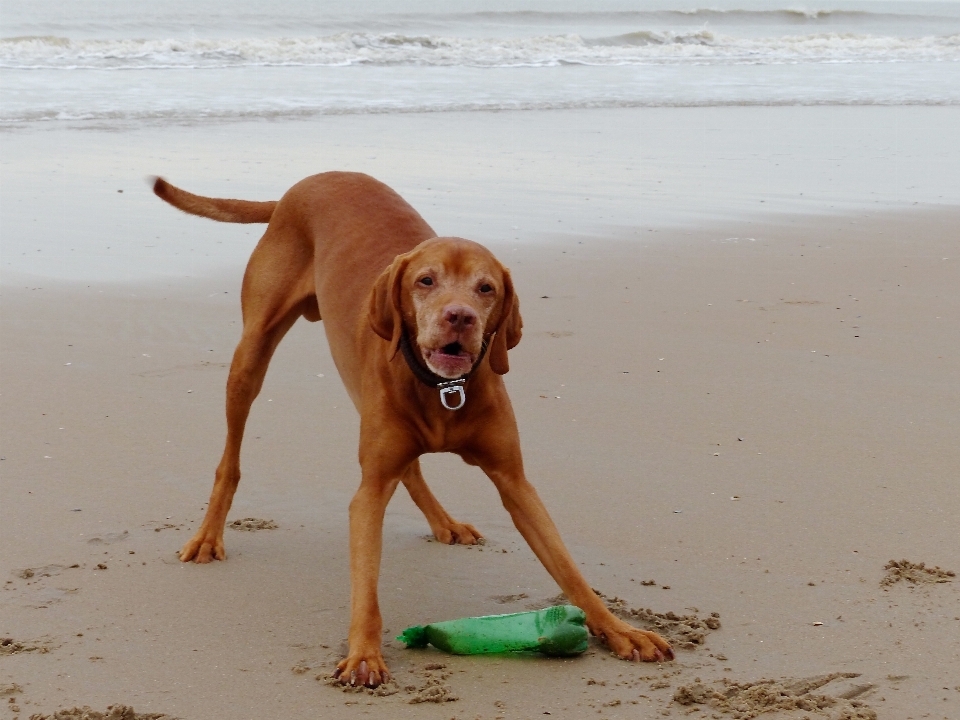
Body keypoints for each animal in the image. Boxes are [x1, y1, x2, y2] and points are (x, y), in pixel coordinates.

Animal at [152, 170, 676, 688]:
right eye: (426, 281)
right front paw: (364, 654)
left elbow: (568, 567)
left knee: (412, 467)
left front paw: (618, 629)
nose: (459, 317)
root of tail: (301, 186)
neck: (442, 389)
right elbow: (366, 583)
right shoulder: (368, 493)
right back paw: (208, 536)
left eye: (486, 288)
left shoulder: (515, 482)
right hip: (251, 356)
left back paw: (445, 523)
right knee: (231, 456)